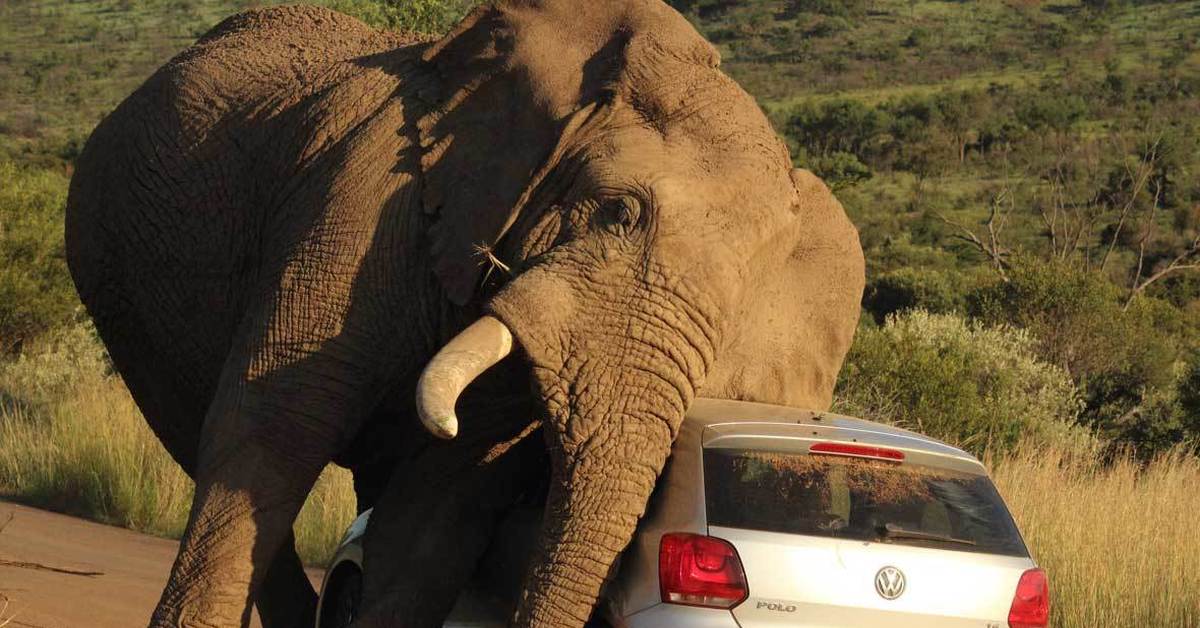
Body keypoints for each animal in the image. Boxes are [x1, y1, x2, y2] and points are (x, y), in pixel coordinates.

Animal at [63, 1, 864, 624]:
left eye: (743, 302)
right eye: (618, 213)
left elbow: (438, 504)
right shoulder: (365, 200)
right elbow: (273, 428)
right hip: (117, 269)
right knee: (202, 438)